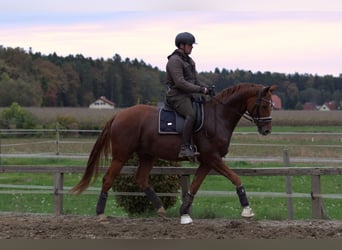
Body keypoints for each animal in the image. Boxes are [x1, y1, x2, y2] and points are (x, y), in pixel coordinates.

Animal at [71, 82, 276, 225]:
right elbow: (236, 178)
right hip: (121, 155)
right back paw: (100, 214)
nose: (266, 130)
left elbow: (194, 187)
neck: (218, 117)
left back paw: (161, 210)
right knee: (108, 179)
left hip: (147, 155)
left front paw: (184, 213)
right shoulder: (213, 158)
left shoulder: (207, 162)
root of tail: (119, 115)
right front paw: (247, 210)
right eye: (264, 106)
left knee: (141, 179)